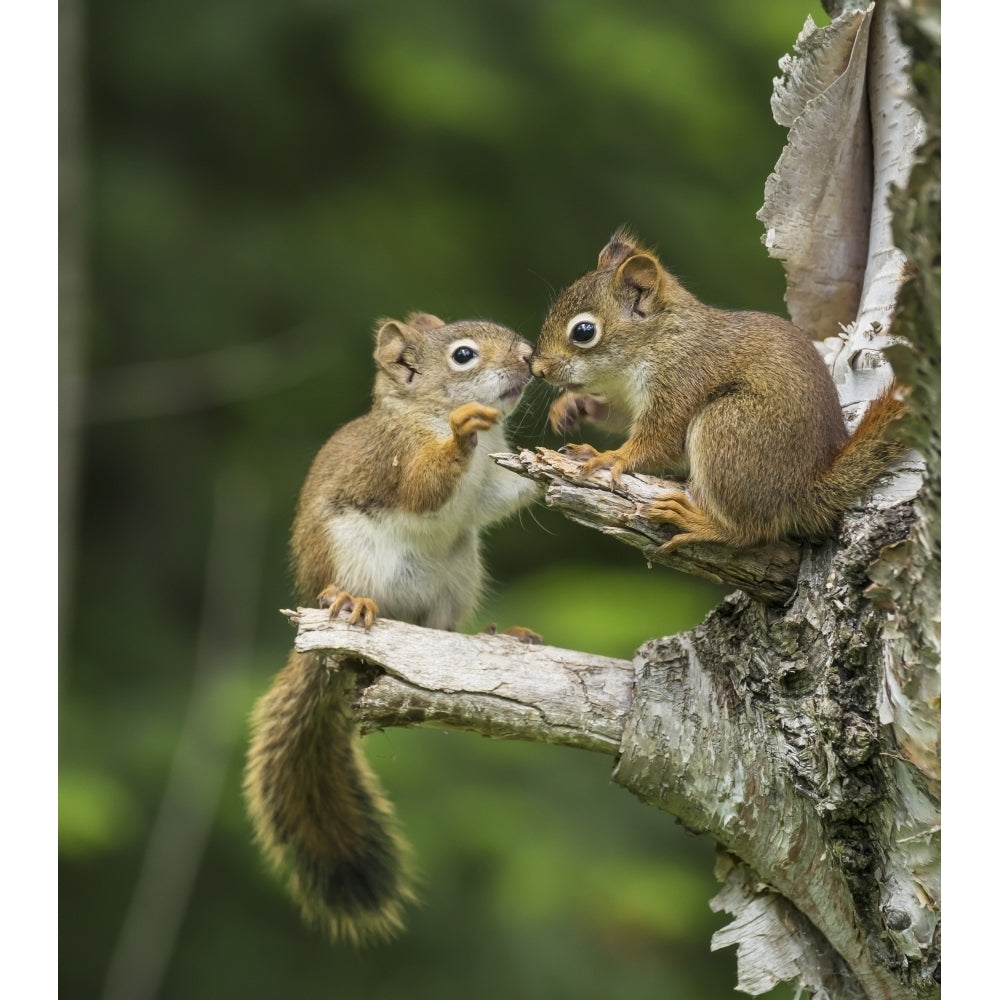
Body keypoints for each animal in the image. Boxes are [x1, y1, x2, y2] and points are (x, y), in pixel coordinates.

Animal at [244, 312, 540, 944]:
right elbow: (424, 486)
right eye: (463, 355)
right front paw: (461, 433)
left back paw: (492, 637)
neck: (420, 413)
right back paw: (349, 603)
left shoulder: (490, 484)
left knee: (444, 629)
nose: (530, 357)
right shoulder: (395, 460)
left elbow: (504, 496)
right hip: (351, 555)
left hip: (459, 573)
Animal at [532, 229, 908, 552]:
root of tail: (805, 488)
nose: (537, 369)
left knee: (752, 531)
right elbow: (617, 416)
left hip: (727, 425)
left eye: (583, 331)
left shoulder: (682, 379)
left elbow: (660, 440)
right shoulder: (628, 398)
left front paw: (612, 456)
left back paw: (698, 522)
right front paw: (572, 406)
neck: (657, 341)